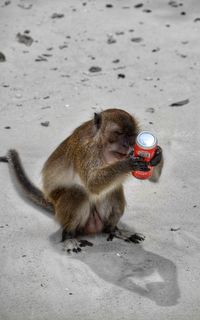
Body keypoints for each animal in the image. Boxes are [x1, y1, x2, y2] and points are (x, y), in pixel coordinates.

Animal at [0, 109, 162, 252]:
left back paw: (113, 230)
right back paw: (68, 236)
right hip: (64, 213)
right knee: (78, 192)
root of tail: (53, 204)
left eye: (131, 136)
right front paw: (128, 163)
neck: (101, 145)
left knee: (113, 189)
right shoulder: (86, 150)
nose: (127, 145)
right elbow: (92, 184)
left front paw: (156, 156)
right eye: (118, 133)